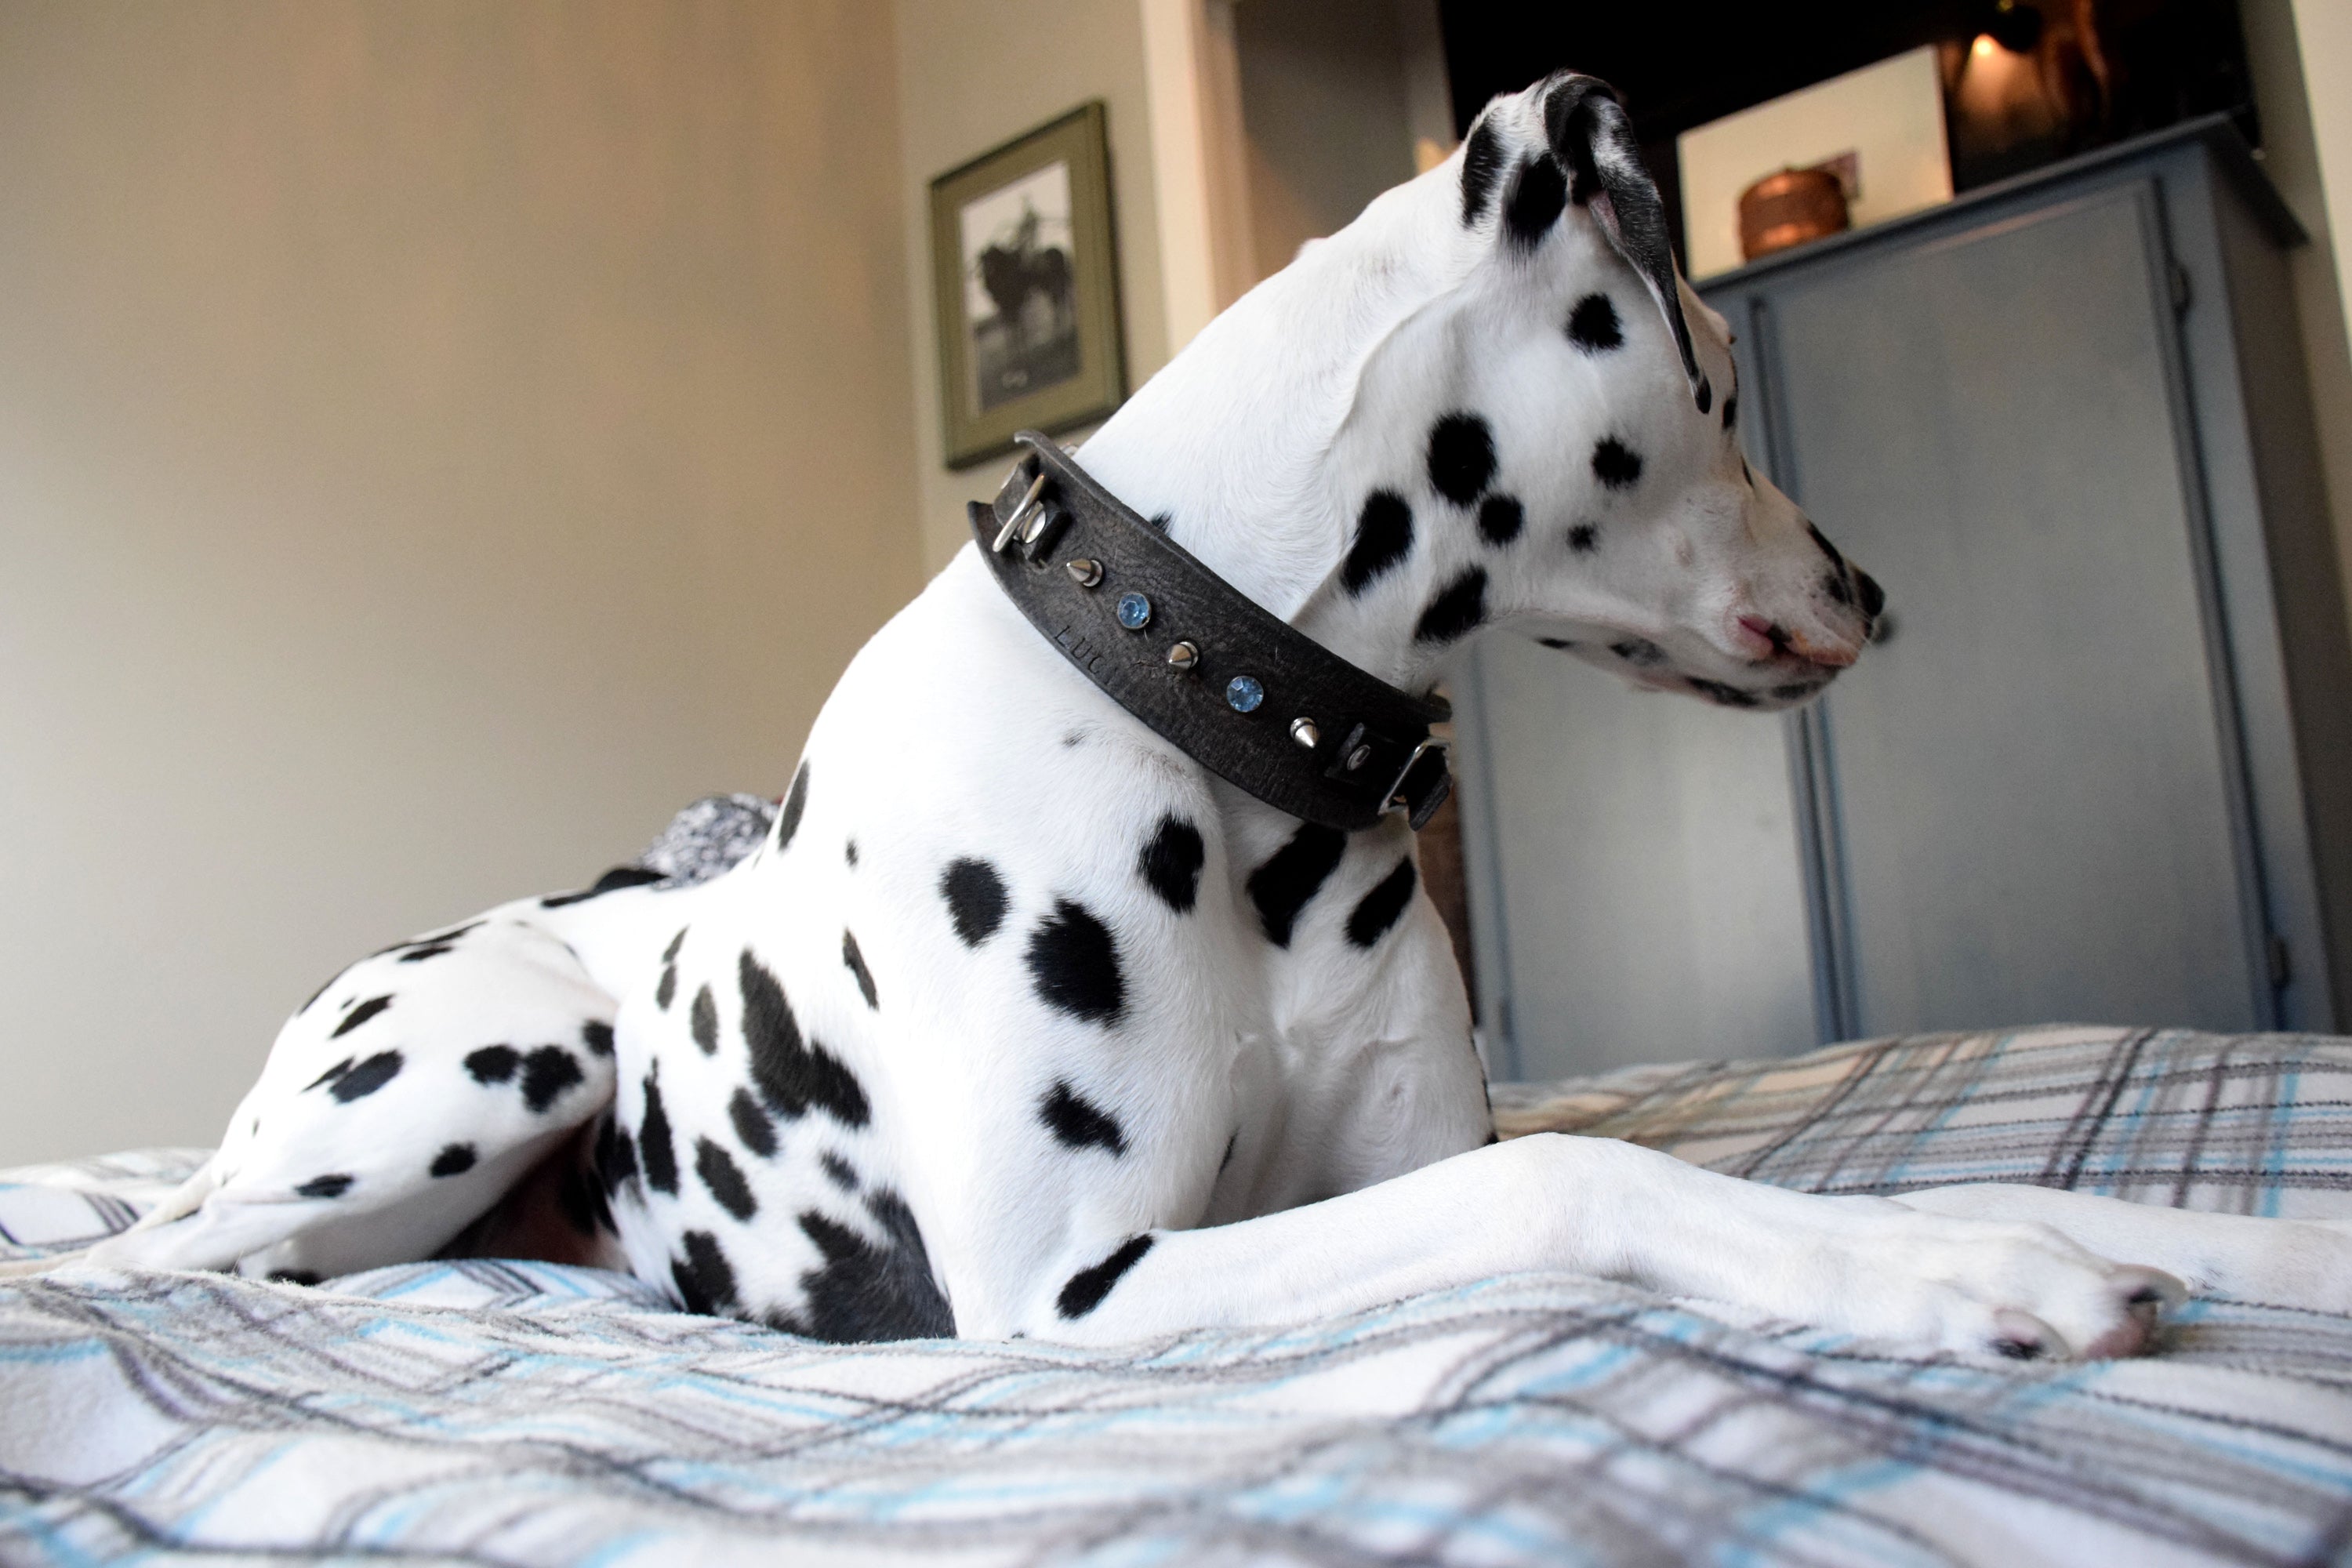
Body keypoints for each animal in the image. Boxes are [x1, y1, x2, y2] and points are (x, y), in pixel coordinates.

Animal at [50, 70, 2352, 1363]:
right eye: (1710, 372)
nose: (1878, 592)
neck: (1223, 721)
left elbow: (1860, 1184)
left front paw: (2192, 1244)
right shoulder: (1081, 1281)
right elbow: (1578, 1185)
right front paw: (1972, 1282)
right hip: (495, 1054)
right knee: (146, 1261)